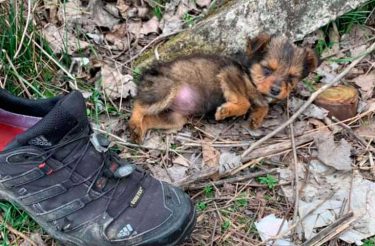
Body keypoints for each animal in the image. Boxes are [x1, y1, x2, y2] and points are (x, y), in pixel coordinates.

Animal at [129, 33, 320, 143]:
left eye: (291, 77)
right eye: (267, 69)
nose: (275, 91)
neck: (249, 72)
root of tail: (146, 74)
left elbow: (262, 104)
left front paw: (256, 118)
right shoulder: (230, 75)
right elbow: (245, 102)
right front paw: (226, 111)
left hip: (174, 118)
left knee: (149, 118)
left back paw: (139, 131)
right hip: (165, 89)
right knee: (138, 104)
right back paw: (134, 123)